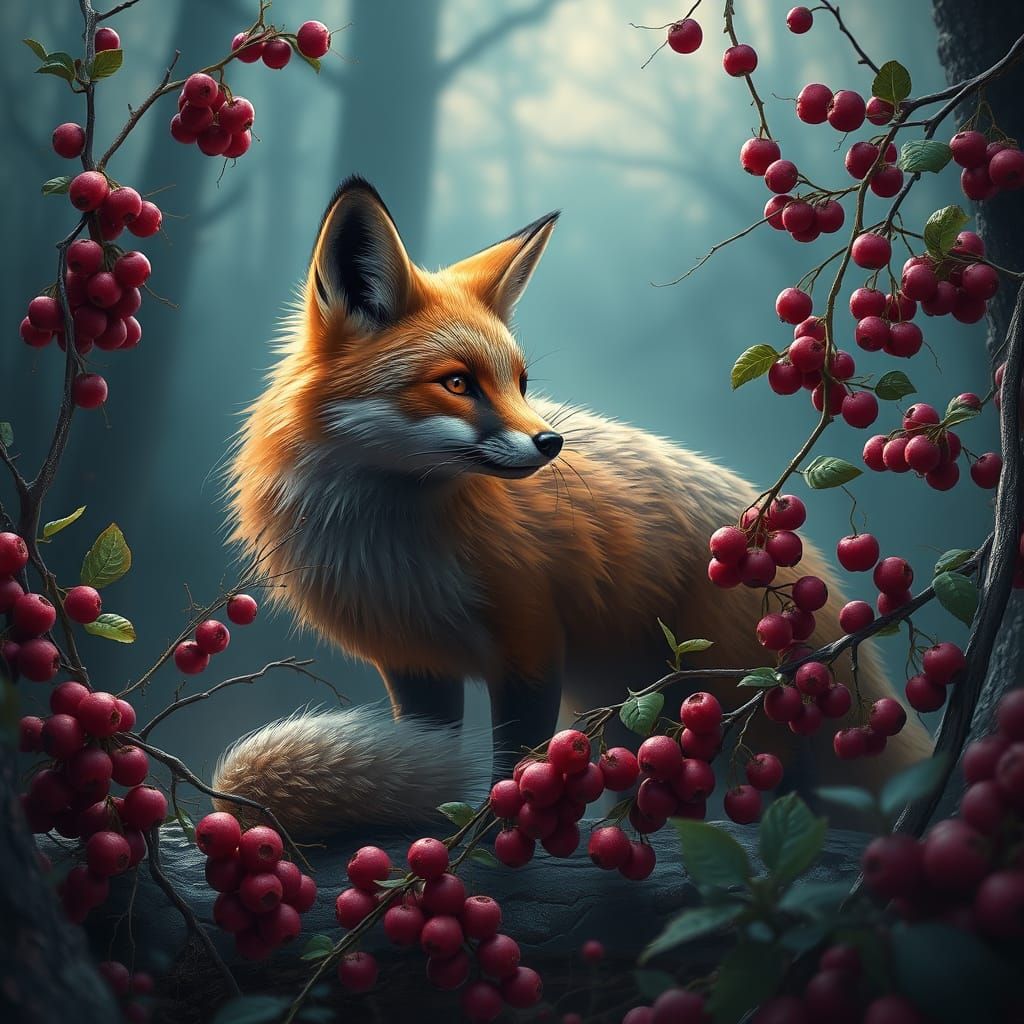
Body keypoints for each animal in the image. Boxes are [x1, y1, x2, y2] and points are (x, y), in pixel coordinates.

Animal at [214, 176, 932, 838]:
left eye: (520, 382)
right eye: (457, 383)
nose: (551, 442)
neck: (396, 552)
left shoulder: (531, 639)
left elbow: (517, 756)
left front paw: (501, 828)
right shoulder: (414, 662)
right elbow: (430, 747)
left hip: (734, 697)